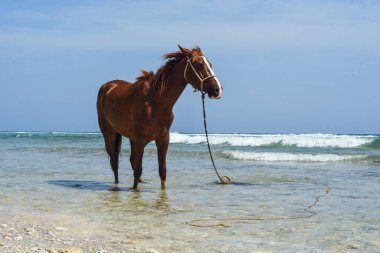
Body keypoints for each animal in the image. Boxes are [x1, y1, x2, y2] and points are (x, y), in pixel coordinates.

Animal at [96, 45, 223, 189]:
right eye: (199, 65)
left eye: (210, 64)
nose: (217, 90)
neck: (156, 101)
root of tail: (107, 86)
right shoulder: (141, 139)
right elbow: (138, 170)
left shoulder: (163, 139)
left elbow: (162, 171)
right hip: (110, 134)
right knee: (115, 162)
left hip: (131, 137)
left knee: (129, 160)